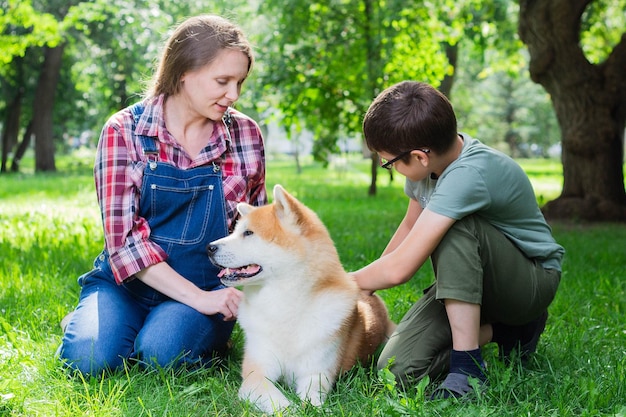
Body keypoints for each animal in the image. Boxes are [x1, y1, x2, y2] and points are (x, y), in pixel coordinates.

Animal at [207, 184, 392, 412]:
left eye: (248, 233)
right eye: (236, 231)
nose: (209, 247)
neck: (284, 303)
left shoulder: (316, 373)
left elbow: (313, 398)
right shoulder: (257, 373)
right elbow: (279, 402)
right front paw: (292, 408)